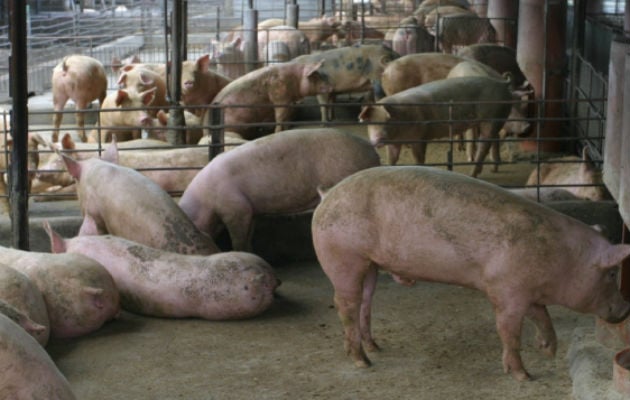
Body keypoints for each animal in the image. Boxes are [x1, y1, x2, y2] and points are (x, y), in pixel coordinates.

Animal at [178, 126, 380, 252]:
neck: (205, 201)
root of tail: (373, 152)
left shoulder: (236, 208)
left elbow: (239, 238)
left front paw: (241, 251)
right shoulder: (251, 210)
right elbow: (249, 235)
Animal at [314, 166, 630, 382]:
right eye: (612, 273)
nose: (625, 307)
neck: (561, 258)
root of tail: (327, 195)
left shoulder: (526, 292)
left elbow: (542, 316)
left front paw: (548, 350)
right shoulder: (506, 290)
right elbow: (509, 331)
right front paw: (524, 376)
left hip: (369, 264)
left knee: (365, 302)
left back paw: (375, 347)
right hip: (343, 256)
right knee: (345, 304)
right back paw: (363, 362)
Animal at [362, 74, 516, 177]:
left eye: (388, 120)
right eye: (372, 122)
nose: (378, 138)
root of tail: (502, 83)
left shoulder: (420, 137)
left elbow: (419, 158)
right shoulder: (394, 143)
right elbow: (392, 159)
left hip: (492, 117)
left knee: (485, 144)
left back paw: (472, 174)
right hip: (497, 119)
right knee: (495, 139)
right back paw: (494, 169)